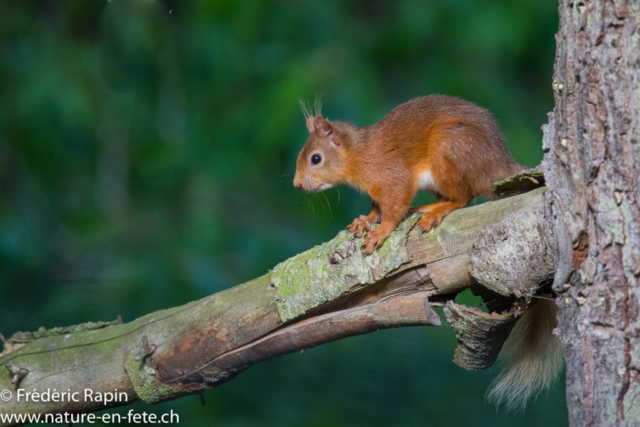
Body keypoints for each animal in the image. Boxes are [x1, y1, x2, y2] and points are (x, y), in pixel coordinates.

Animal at [296, 96, 524, 254]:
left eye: (315, 158)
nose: (297, 184)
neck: (359, 155)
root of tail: (500, 162)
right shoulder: (375, 190)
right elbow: (376, 207)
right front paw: (366, 220)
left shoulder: (393, 176)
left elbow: (395, 207)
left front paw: (381, 231)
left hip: (448, 144)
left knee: (462, 199)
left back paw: (434, 212)